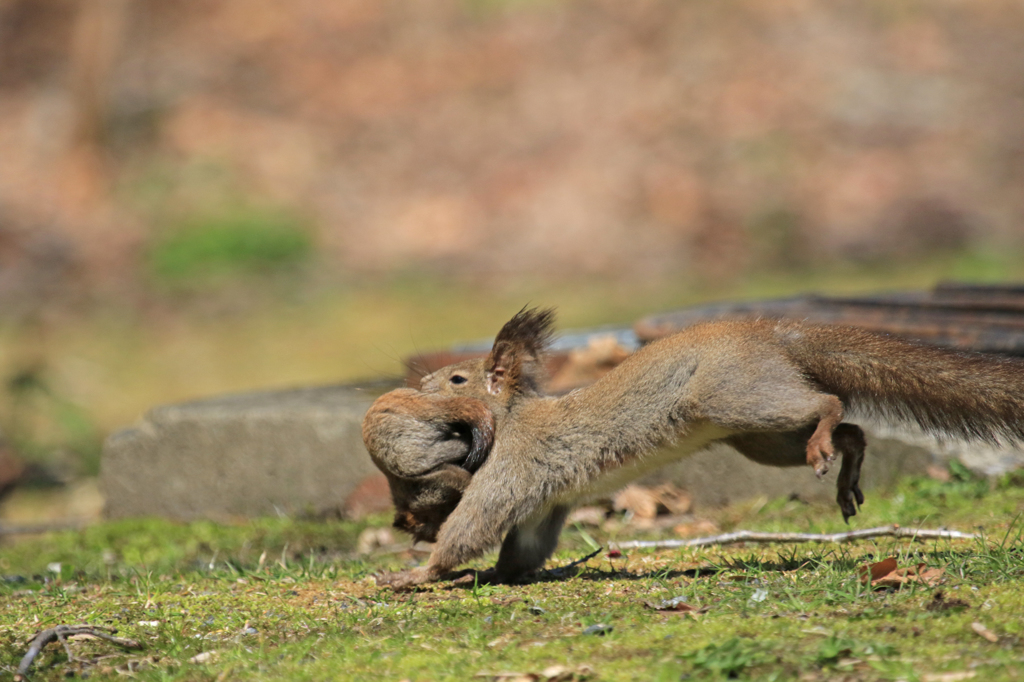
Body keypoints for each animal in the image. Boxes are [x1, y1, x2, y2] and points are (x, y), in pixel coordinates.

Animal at [362, 307, 1024, 585]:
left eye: (456, 380)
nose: (415, 391)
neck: (509, 417)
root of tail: (771, 335)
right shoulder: (545, 506)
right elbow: (522, 549)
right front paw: (498, 575)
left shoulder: (516, 464)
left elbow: (473, 522)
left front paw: (415, 574)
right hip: (760, 438)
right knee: (851, 429)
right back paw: (845, 472)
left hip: (734, 399)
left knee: (828, 404)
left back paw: (826, 444)